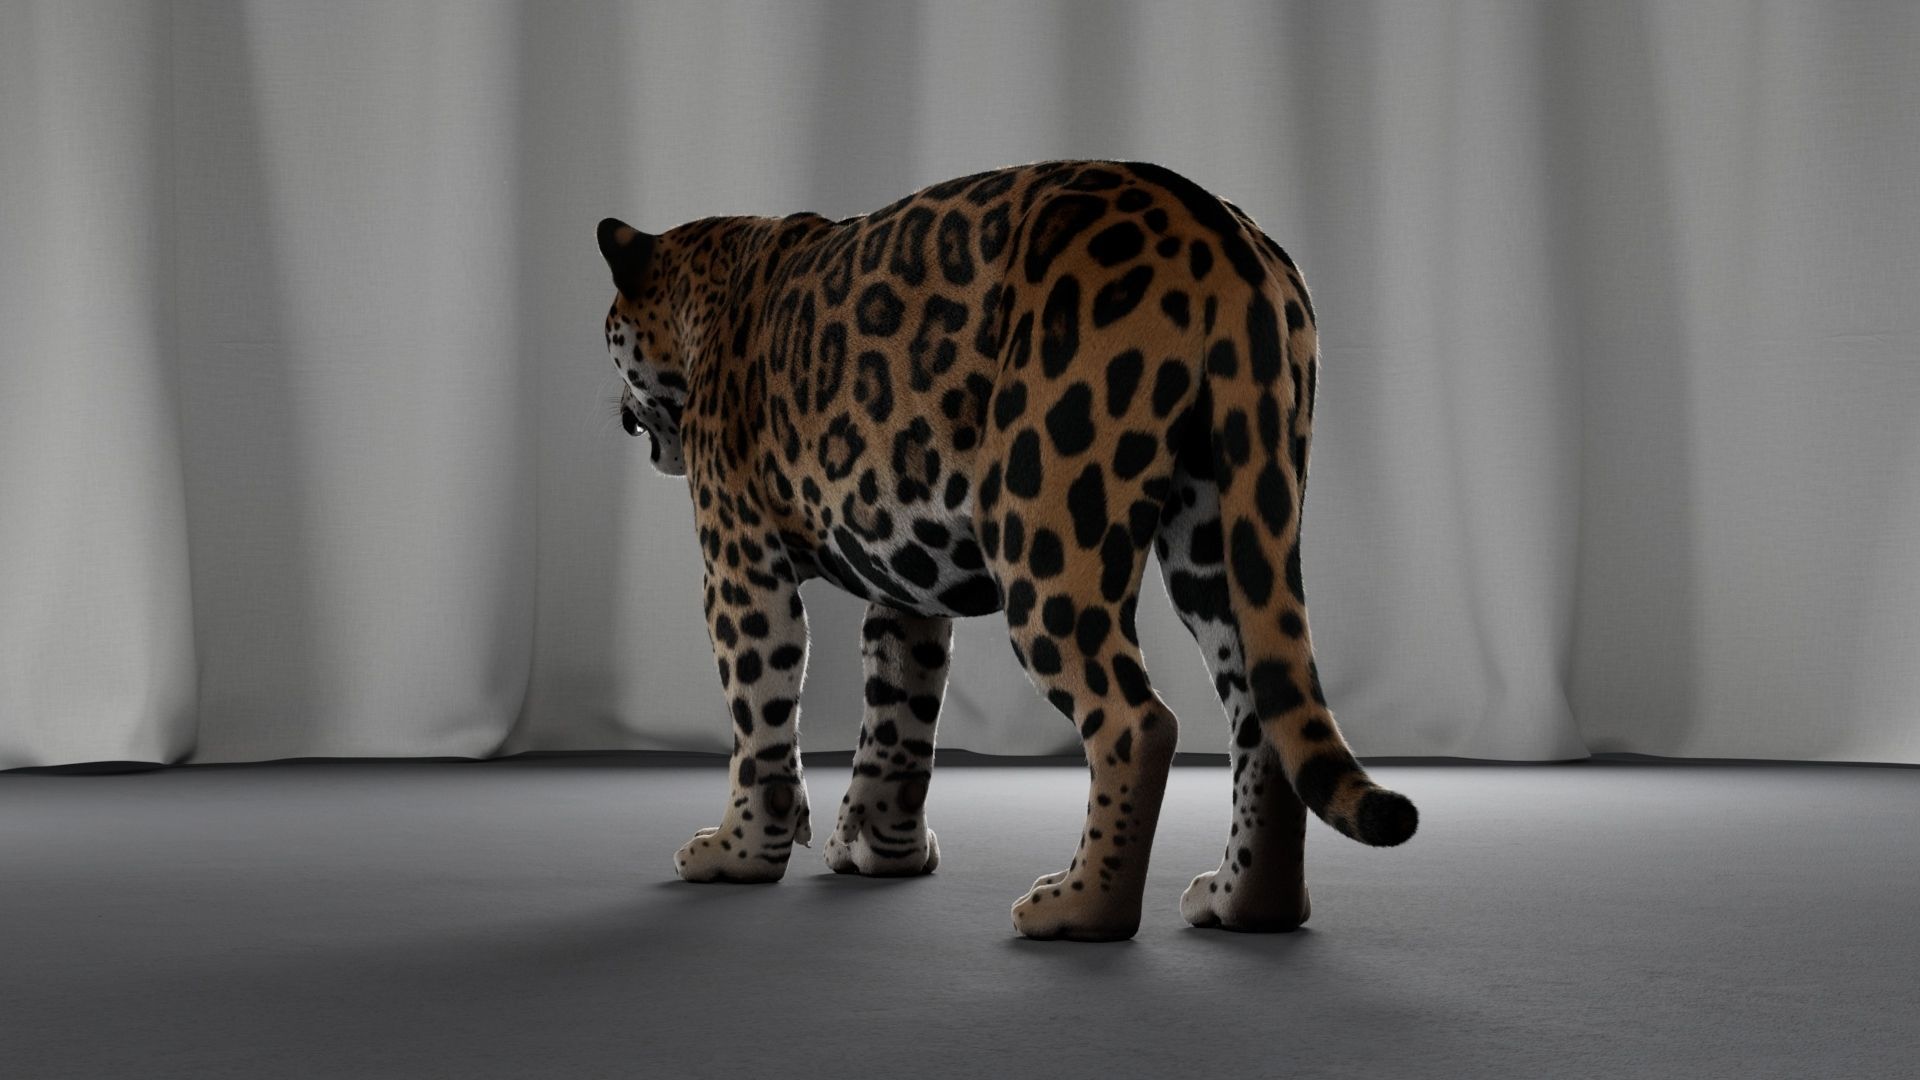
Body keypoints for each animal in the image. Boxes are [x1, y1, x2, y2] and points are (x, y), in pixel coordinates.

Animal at [597, 160, 1417, 941]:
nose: (621, 416)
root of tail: (1215, 225)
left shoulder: (739, 558)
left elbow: (760, 713)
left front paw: (738, 852)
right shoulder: (905, 584)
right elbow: (898, 719)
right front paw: (884, 851)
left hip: (1046, 528)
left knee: (1138, 722)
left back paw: (1080, 908)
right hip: (1225, 523)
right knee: (1261, 717)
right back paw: (1246, 904)